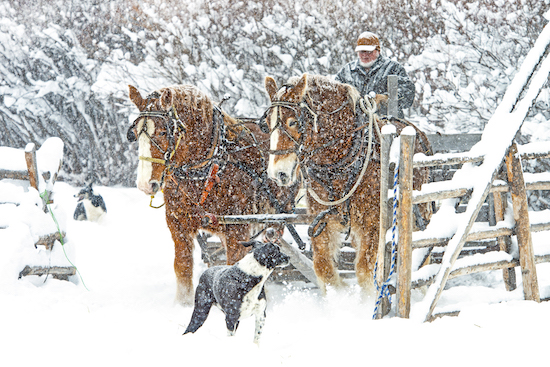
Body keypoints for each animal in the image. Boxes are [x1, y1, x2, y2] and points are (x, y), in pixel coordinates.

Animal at [128, 85, 298, 306]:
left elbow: (236, 262)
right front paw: (183, 303)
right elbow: (182, 266)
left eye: (164, 131)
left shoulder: (237, 228)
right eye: (135, 133)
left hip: (277, 214)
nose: (145, 185)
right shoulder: (178, 224)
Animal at [266, 73, 434, 298]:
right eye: (267, 123)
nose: (278, 173)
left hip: (419, 211)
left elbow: (364, 270)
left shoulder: (373, 223)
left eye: (293, 121)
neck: (339, 167)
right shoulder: (322, 221)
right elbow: (323, 267)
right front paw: (339, 296)